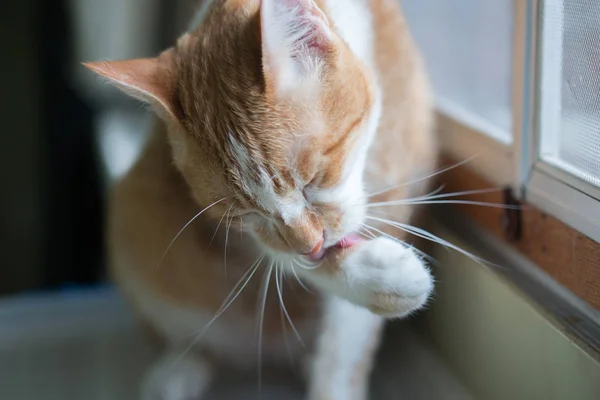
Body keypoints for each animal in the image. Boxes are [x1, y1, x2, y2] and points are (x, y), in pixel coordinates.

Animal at [83, 0, 436, 400]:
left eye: (313, 178)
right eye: (243, 213)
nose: (312, 246)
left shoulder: (394, 185)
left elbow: (345, 343)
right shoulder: (257, 237)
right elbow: (283, 255)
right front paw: (379, 277)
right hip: (134, 222)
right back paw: (180, 370)